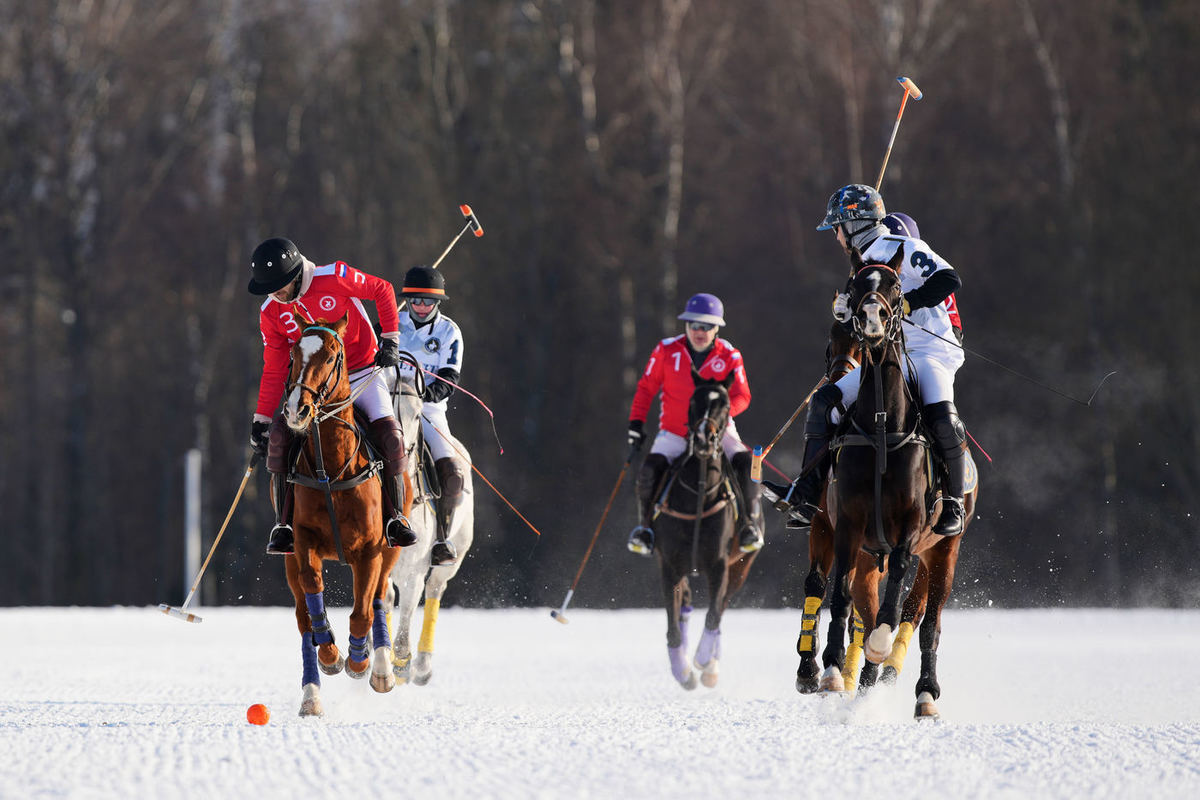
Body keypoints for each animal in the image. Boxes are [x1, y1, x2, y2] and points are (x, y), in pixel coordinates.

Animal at [279, 316, 403, 714]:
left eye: (334, 355)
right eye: (292, 353)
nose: (296, 410)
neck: (331, 469)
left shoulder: (371, 549)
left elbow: (363, 610)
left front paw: (359, 661)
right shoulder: (302, 543)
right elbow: (312, 602)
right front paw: (331, 654)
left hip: (392, 548)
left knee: (379, 597)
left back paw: (380, 670)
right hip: (287, 556)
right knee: (302, 620)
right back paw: (311, 696)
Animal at [386, 367, 475, 686]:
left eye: (416, 414)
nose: (398, 450)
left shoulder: (414, 572)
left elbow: (405, 623)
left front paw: (401, 666)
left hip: (455, 553)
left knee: (436, 587)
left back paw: (421, 667)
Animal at [652, 369, 753, 690]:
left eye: (725, 404)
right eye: (692, 402)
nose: (703, 439)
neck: (699, 491)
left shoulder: (720, 564)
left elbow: (713, 615)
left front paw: (702, 659)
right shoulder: (669, 564)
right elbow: (672, 625)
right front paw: (683, 671)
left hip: (740, 566)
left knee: (722, 606)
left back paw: (710, 667)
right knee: (684, 603)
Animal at [816, 262, 974, 719]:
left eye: (896, 286)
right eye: (855, 288)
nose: (871, 318)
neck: (882, 425)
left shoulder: (910, 525)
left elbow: (899, 583)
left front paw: (882, 644)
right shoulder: (849, 526)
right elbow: (840, 596)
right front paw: (832, 671)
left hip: (944, 551)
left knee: (928, 621)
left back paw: (925, 695)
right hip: (872, 554)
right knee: (869, 610)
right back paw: (867, 685)